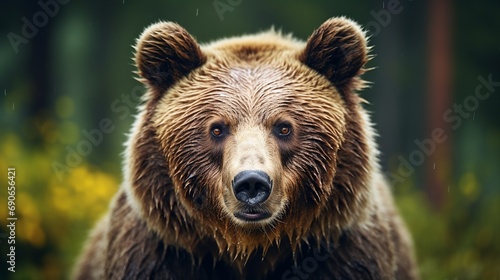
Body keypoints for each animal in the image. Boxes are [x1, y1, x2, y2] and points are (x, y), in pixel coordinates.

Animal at [73, 17, 418, 278]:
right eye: (216, 128)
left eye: (284, 127)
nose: (252, 182)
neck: (248, 248)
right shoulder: (161, 252)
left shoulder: (342, 250)